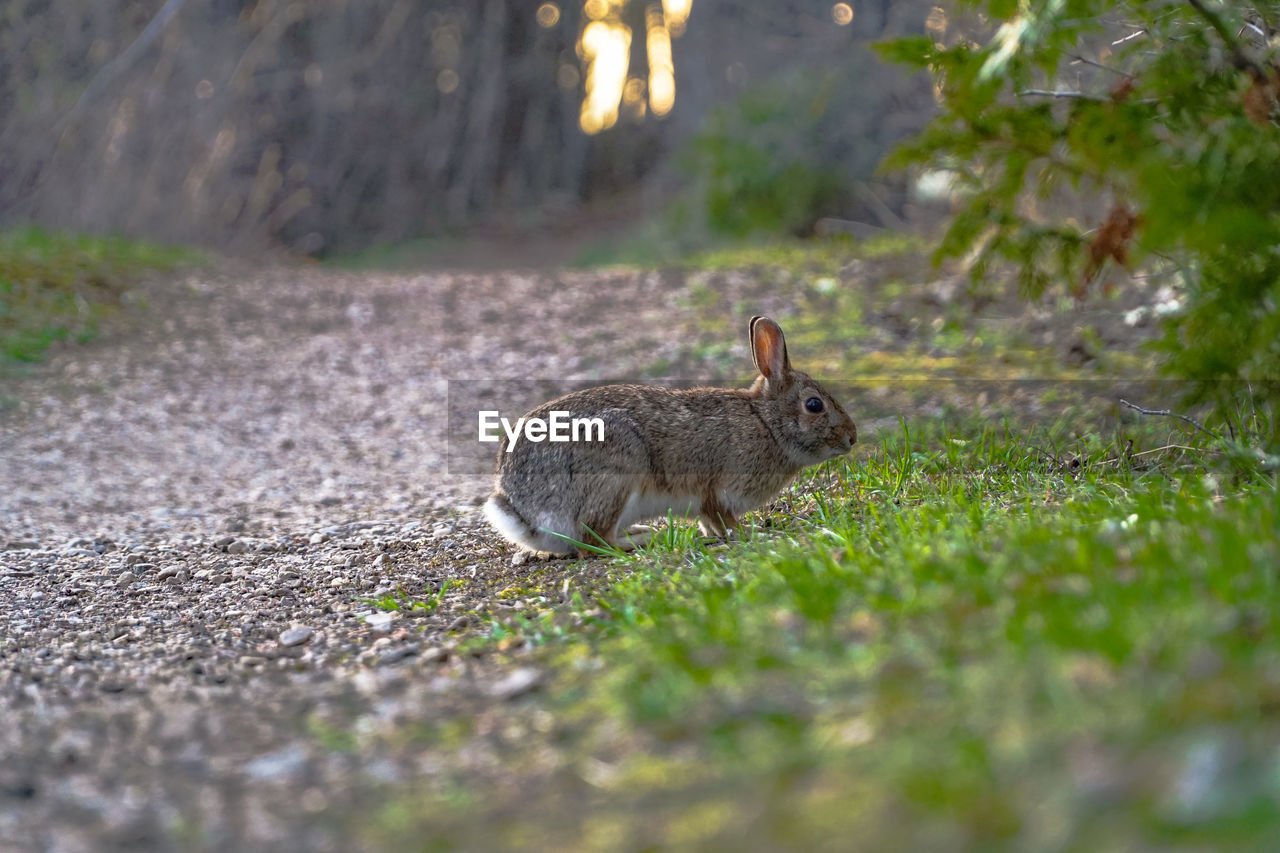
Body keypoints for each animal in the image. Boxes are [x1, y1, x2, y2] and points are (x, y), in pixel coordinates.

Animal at [483, 315, 855, 555]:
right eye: (814, 405)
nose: (852, 438)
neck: (766, 423)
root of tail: (522, 512)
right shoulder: (718, 488)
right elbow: (723, 519)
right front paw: (747, 534)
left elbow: (708, 522)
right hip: (616, 466)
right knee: (594, 539)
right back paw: (639, 540)